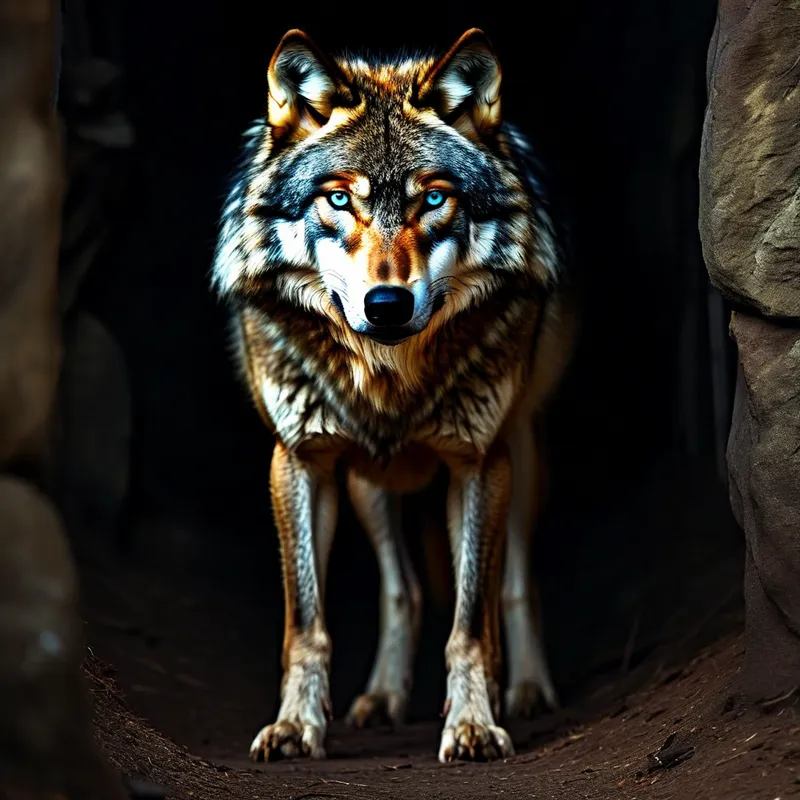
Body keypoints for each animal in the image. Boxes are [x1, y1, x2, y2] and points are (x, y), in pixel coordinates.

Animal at [211, 27, 577, 763]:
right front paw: (296, 727)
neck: (389, 375)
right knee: (402, 587)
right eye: (338, 199)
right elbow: (307, 623)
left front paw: (473, 725)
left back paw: (525, 690)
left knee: (515, 582)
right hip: (367, 485)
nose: (386, 304)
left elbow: (471, 624)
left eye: (433, 200)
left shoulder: (478, 463)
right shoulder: (298, 462)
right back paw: (381, 698)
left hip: (522, 461)